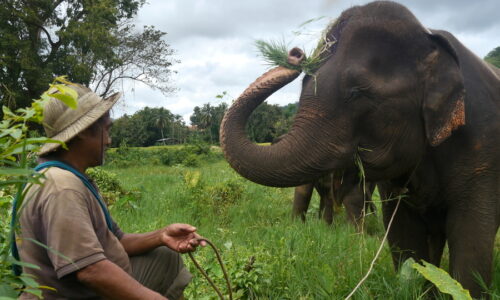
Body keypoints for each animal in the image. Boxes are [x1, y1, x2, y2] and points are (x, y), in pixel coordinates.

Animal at [222, 1, 500, 296]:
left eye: (357, 92)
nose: (296, 54)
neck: (430, 37)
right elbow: (403, 238)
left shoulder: (485, 146)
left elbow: (471, 241)